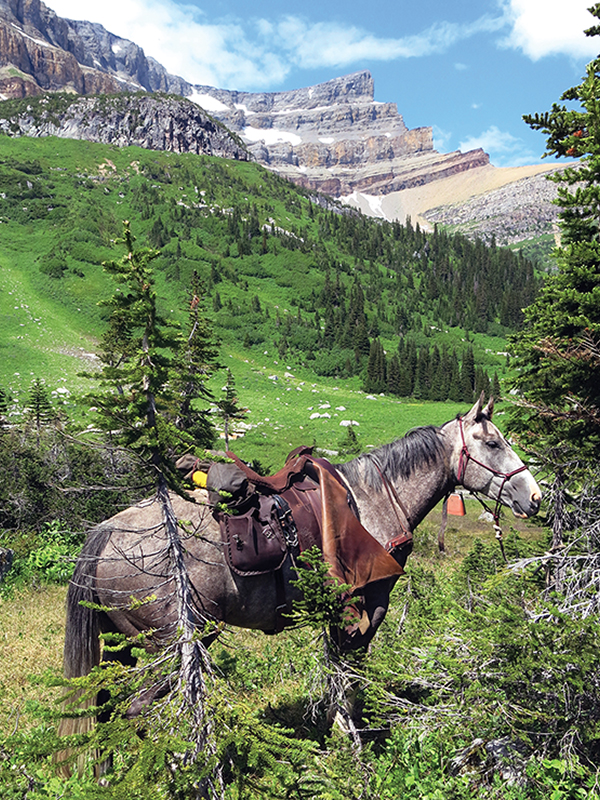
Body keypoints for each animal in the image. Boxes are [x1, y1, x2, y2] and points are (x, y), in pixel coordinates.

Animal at [60, 394, 541, 719]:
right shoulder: (366, 607)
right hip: (171, 642)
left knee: (109, 710)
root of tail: (106, 532)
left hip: (122, 647)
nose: (535, 498)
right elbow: (348, 680)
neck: (371, 503)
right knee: (137, 708)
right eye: (493, 443)